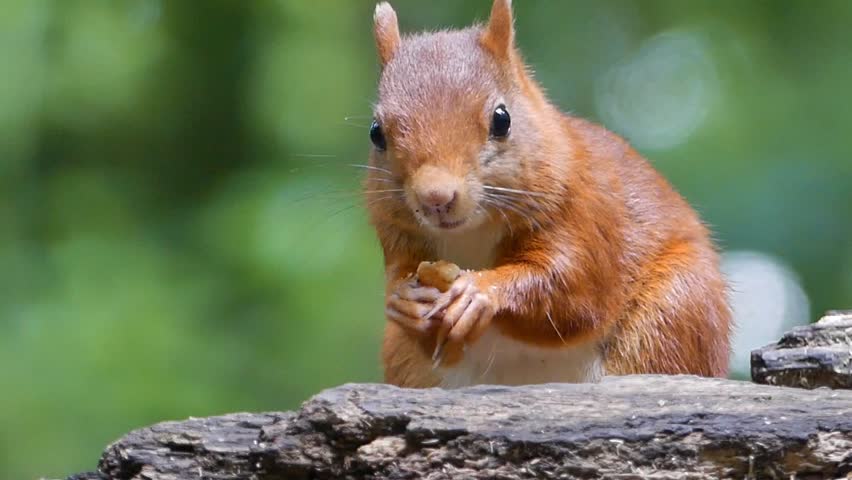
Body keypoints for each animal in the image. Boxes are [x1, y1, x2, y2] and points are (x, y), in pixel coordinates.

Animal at [366, 0, 732, 388]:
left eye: (502, 119)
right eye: (376, 133)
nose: (435, 197)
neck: (472, 233)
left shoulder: (583, 213)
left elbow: (570, 289)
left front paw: (481, 290)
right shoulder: (397, 236)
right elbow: (402, 280)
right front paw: (404, 299)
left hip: (677, 309)